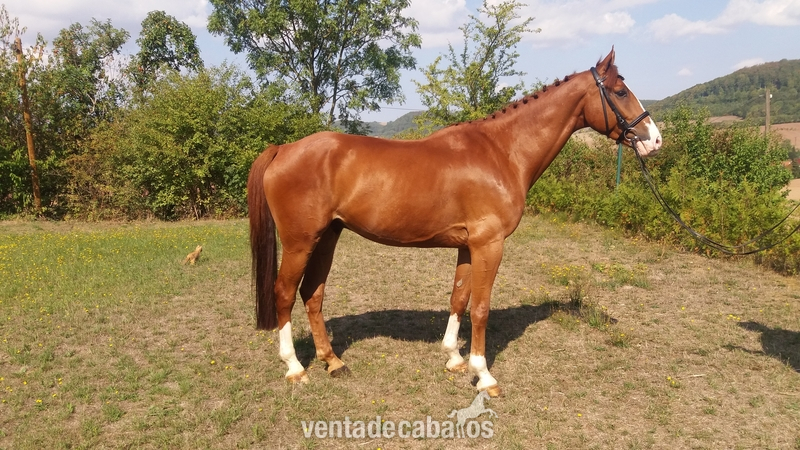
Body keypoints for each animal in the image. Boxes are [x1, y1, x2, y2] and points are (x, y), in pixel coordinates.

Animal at [247, 48, 662, 397]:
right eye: (620, 91)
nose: (654, 140)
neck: (502, 151)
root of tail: (283, 149)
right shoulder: (489, 244)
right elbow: (480, 307)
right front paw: (485, 375)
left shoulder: (467, 245)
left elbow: (459, 298)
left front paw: (454, 358)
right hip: (300, 241)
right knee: (284, 292)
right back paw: (295, 367)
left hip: (328, 236)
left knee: (312, 294)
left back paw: (333, 362)